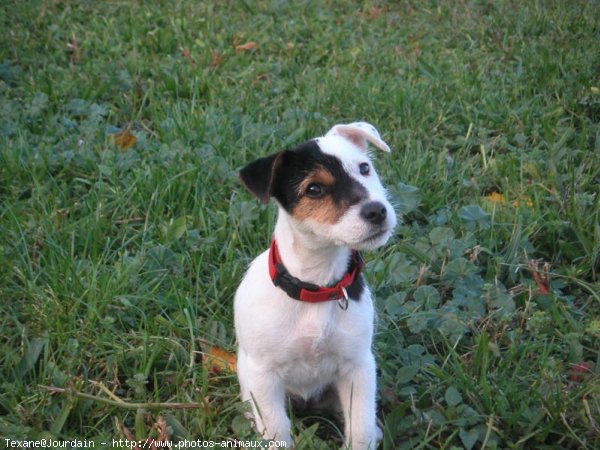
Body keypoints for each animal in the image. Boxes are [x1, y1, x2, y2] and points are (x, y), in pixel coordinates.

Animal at [233, 121, 394, 448]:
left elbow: (359, 426)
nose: (377, 211)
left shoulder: (358, 366)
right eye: (314, 189)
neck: (317, 286)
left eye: (364, 168)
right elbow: (276, 430)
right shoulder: (263, 376)